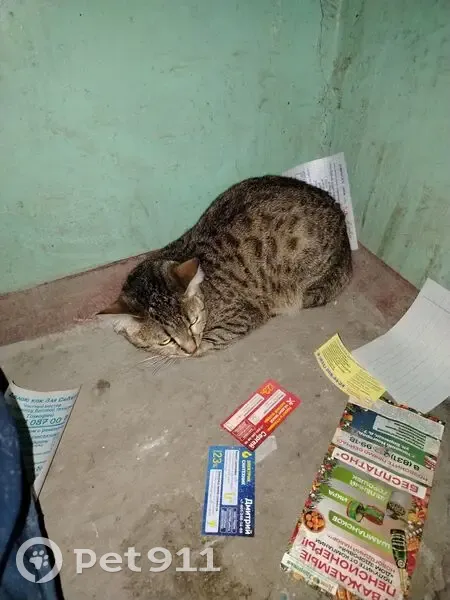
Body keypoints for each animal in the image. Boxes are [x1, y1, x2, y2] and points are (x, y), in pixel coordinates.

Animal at [101, 176, 352, 357]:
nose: (190, 348)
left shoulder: (243, 315)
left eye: (193, 322)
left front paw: (197, 348)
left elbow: (216, 338)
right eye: (166, 340)